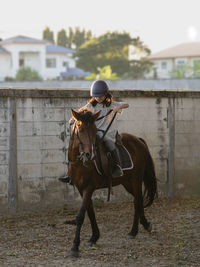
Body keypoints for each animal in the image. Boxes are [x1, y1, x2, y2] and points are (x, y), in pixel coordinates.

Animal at [68, 108, 157, 258]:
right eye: (80, 129)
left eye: (94, 130)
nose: (90, 155)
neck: (80, 163)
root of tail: (138, 140)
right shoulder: (81, 189)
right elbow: (90, 212)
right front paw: (94, 237)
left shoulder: (88, 188)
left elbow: (81, 215)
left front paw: (75, 246)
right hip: (127, 182)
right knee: (138, 200)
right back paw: (143, 225)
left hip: (136, 179)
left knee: (137, 201)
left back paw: (134, 230)